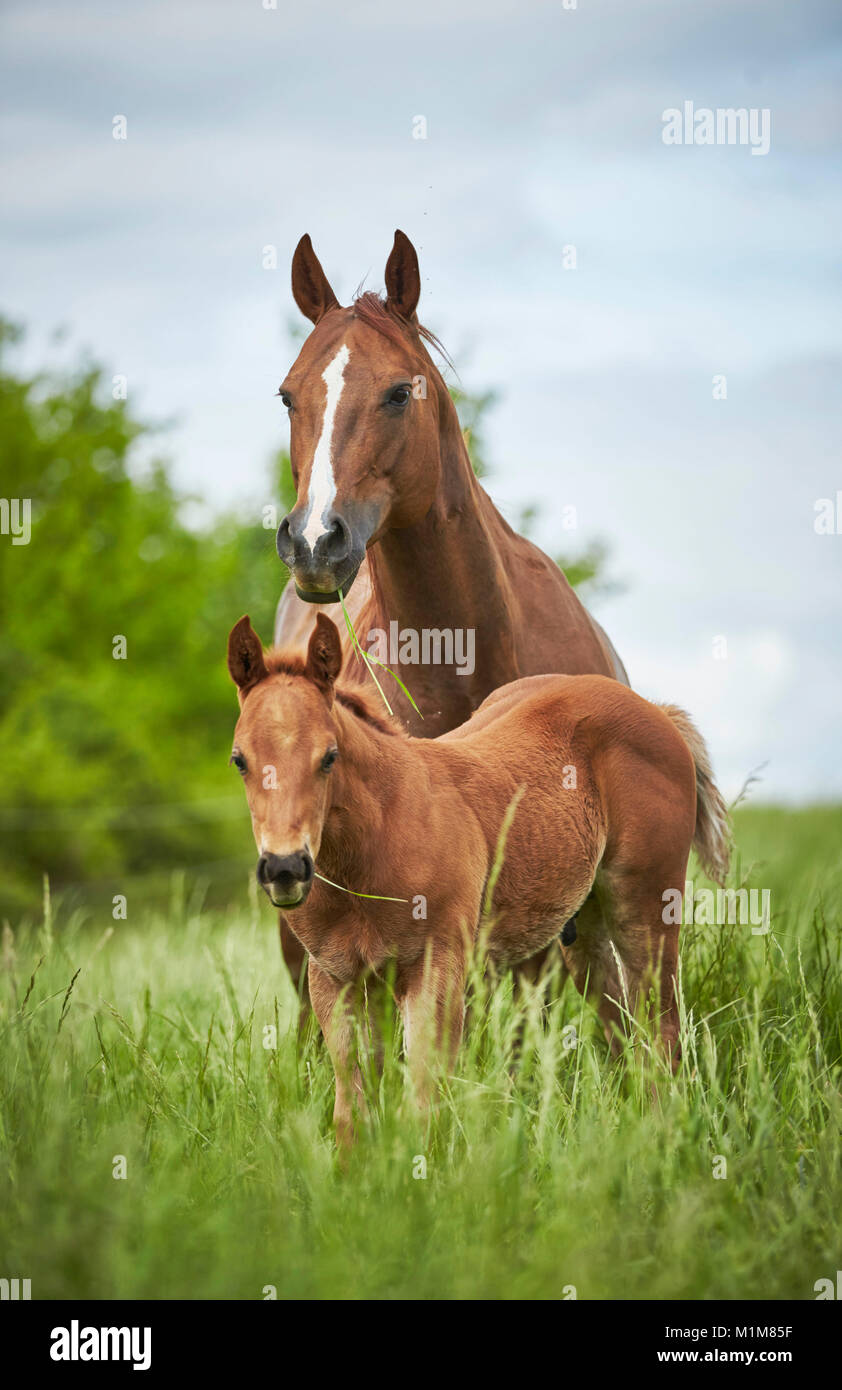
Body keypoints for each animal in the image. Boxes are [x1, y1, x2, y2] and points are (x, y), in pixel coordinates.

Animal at [227, 612, 730, 1149]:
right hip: (584, 923)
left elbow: (422, 1101)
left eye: (329, 756)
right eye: (240, 760)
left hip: (647, 907)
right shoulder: (336, 978)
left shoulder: (437, 969)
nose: (285, 868)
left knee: (662, 1029)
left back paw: (662, 1134)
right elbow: (354, 1109)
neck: (371, 851)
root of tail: (655, 710)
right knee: (617, 1020)